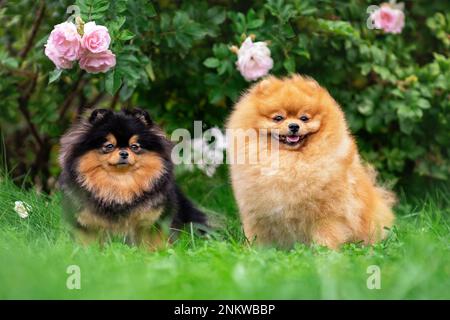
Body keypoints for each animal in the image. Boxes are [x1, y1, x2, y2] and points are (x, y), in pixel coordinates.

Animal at [58, 109, 206, 246]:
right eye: (109, 146)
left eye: (134, 146)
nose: (124, 153)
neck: (121, 183)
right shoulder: (86, 221)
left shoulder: (153, 220)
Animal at [229, 75, 394, 250]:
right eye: (278, 118)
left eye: (304, 118)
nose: (294, 126)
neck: (290, 160)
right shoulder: (258, 215)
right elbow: (258, 237)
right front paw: (255, 251)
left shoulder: (328, 215)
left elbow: (327, 235)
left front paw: (323, 252)